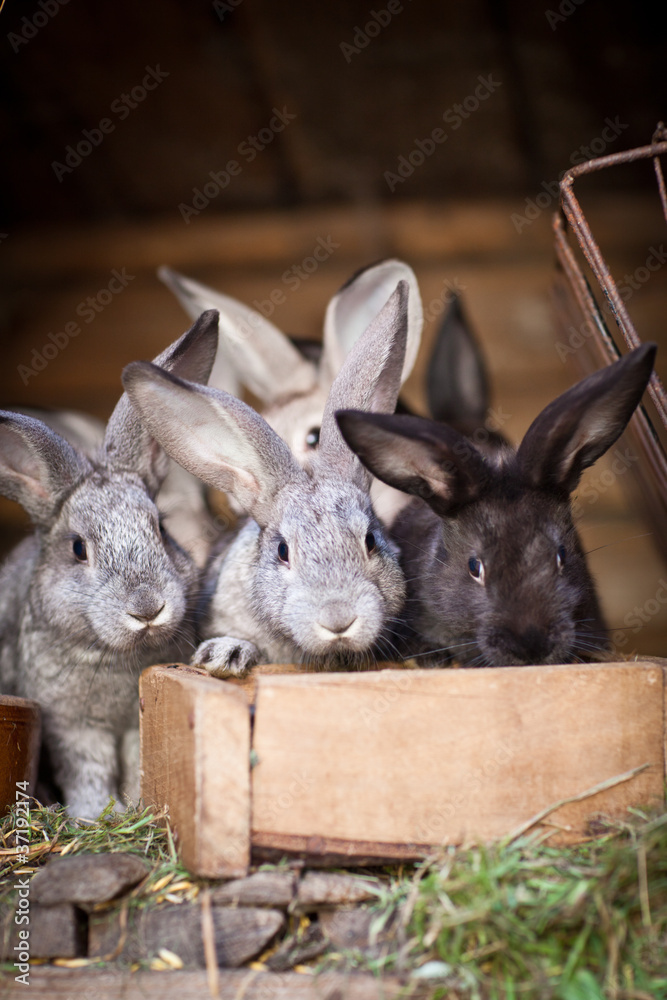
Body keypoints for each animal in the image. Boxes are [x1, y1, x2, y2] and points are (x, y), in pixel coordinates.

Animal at [0, 310, 219, 819]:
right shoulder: (73, 728)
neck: (115, 657)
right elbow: (89, 771)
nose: (147, 608)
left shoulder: (134, 723)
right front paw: (94, 813)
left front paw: (135, 807)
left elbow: (138, 762)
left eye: (160, 527)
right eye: (78, 548)